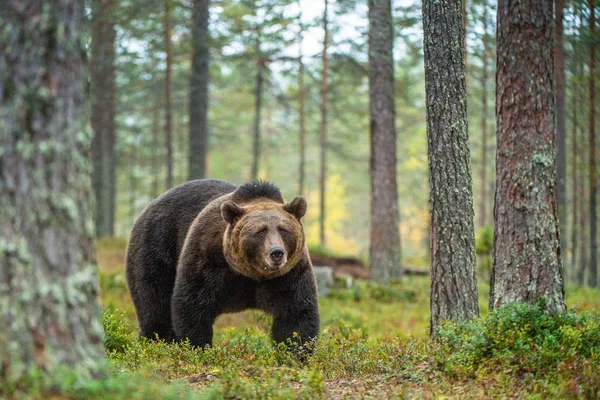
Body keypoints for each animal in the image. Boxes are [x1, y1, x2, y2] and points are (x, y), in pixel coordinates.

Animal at [126, 178, 322, 346]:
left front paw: (296, 351)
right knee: (154, 304)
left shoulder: (289, 274)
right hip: (156, 245)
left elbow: (295, 313)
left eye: (283, 229)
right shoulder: (209, 261)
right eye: (260, 231)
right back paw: (154, 341)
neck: (252, 274)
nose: (277, 253)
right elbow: (192, 306)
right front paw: (197, 345)